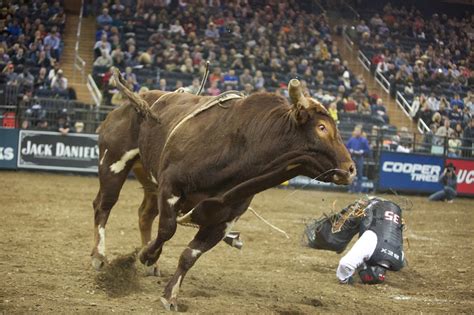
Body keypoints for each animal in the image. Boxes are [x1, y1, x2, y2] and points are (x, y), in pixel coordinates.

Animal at [98, 74, 356, 312]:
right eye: (322, 127)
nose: (351, 169)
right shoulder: (170, 187)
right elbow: (167, 229)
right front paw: (146, 255)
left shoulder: (223, 220)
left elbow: (190, 254)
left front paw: (170, 294)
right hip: (113, 162)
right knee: (104, 206)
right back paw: (99, 257)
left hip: (148, 178)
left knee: (144, 214)